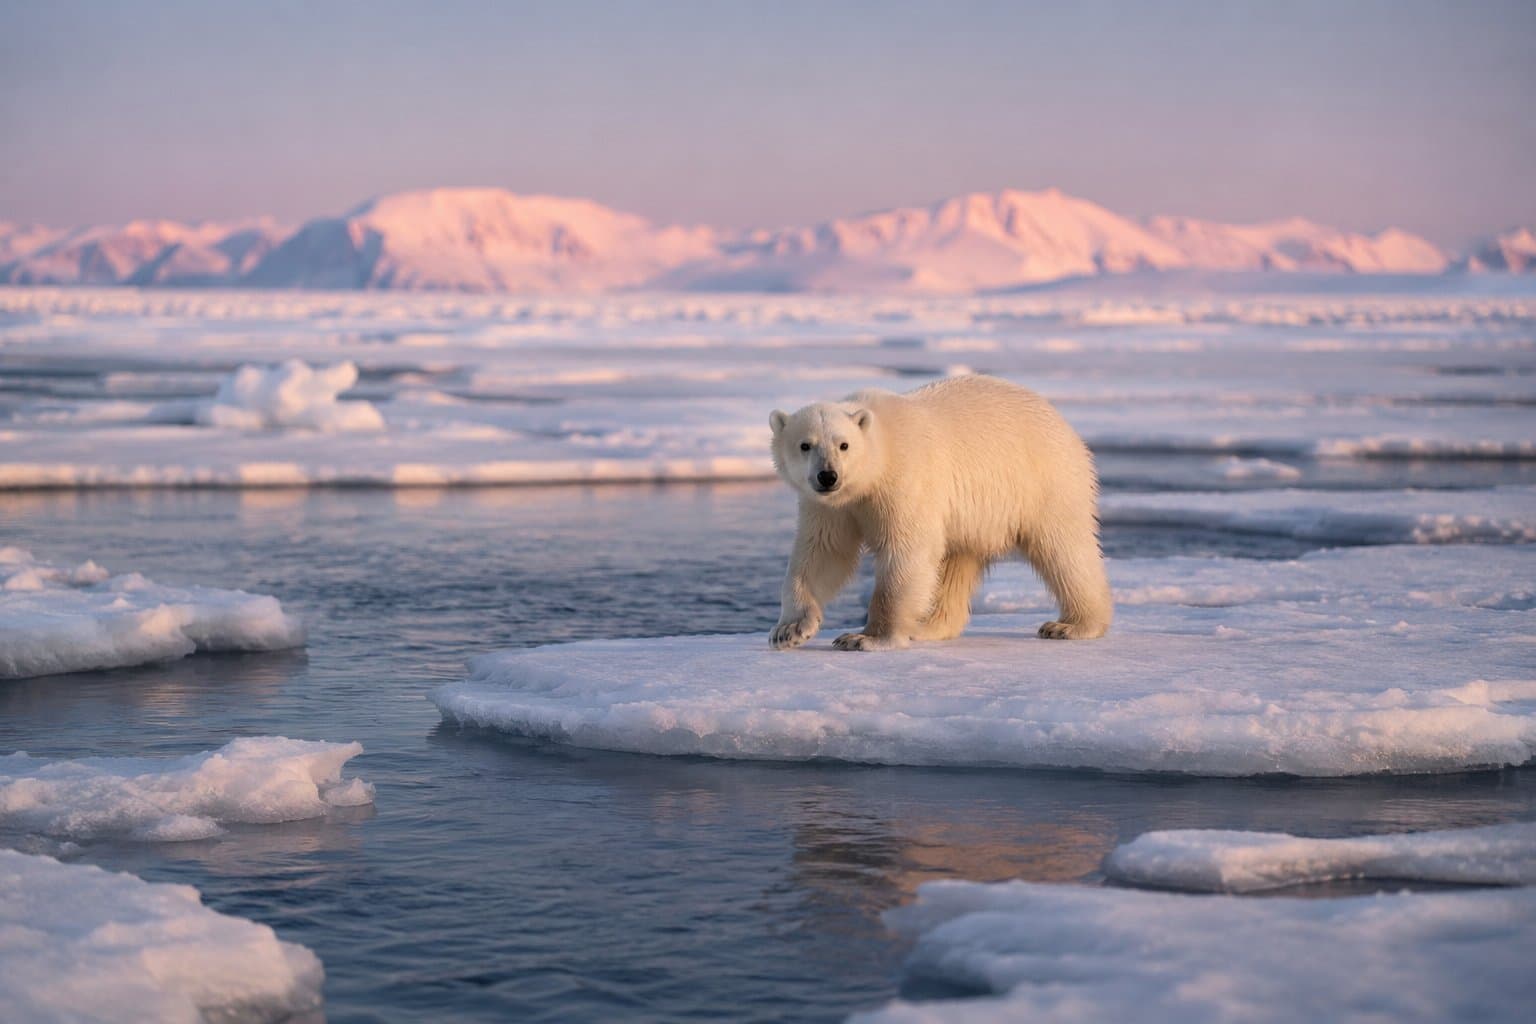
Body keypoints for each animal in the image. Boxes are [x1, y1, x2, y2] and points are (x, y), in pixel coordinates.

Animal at [768, 374, 1112, 651]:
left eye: (844, 445)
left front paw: (865, 637)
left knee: (1064, 548)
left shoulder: (905, 479)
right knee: (956, 562)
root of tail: (1062, 423)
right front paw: (790, 630)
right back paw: (928, 626)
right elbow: (823, 553)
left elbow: (906, 552)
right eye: (805, 445)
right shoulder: (829, 507)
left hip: (1045, 480)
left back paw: (1071, 625)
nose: (828, 476)